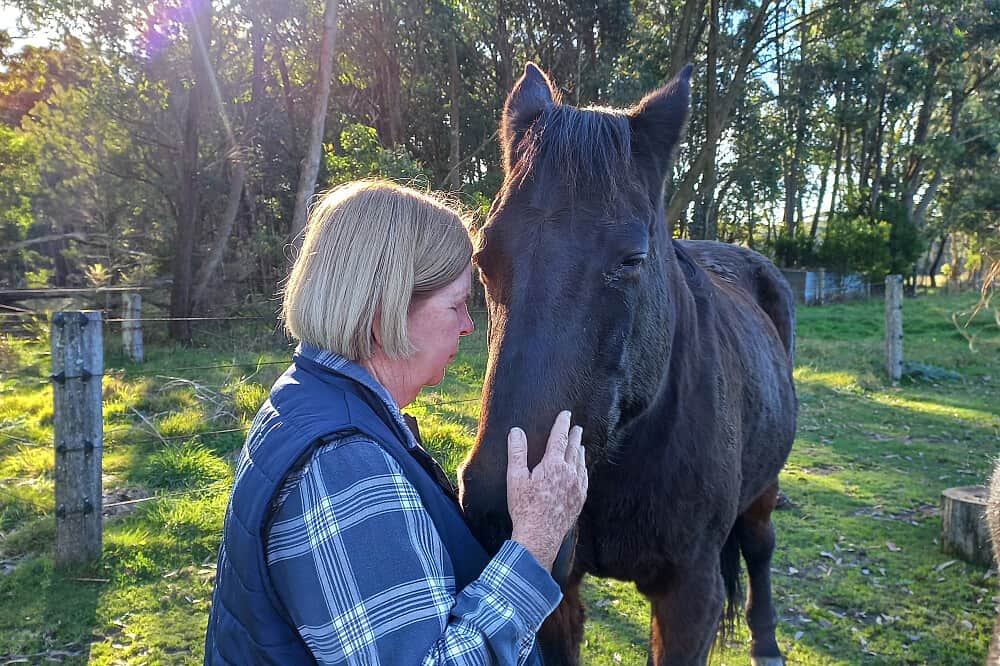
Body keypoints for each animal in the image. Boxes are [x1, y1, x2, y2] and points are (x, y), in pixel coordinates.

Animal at [457, 62, 797, 666]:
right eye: (483, 256)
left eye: (632, 260)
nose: (500, 509)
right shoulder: (555, 595)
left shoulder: (691, 599)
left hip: (764, 491)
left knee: (760, 546)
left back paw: (767, 642)